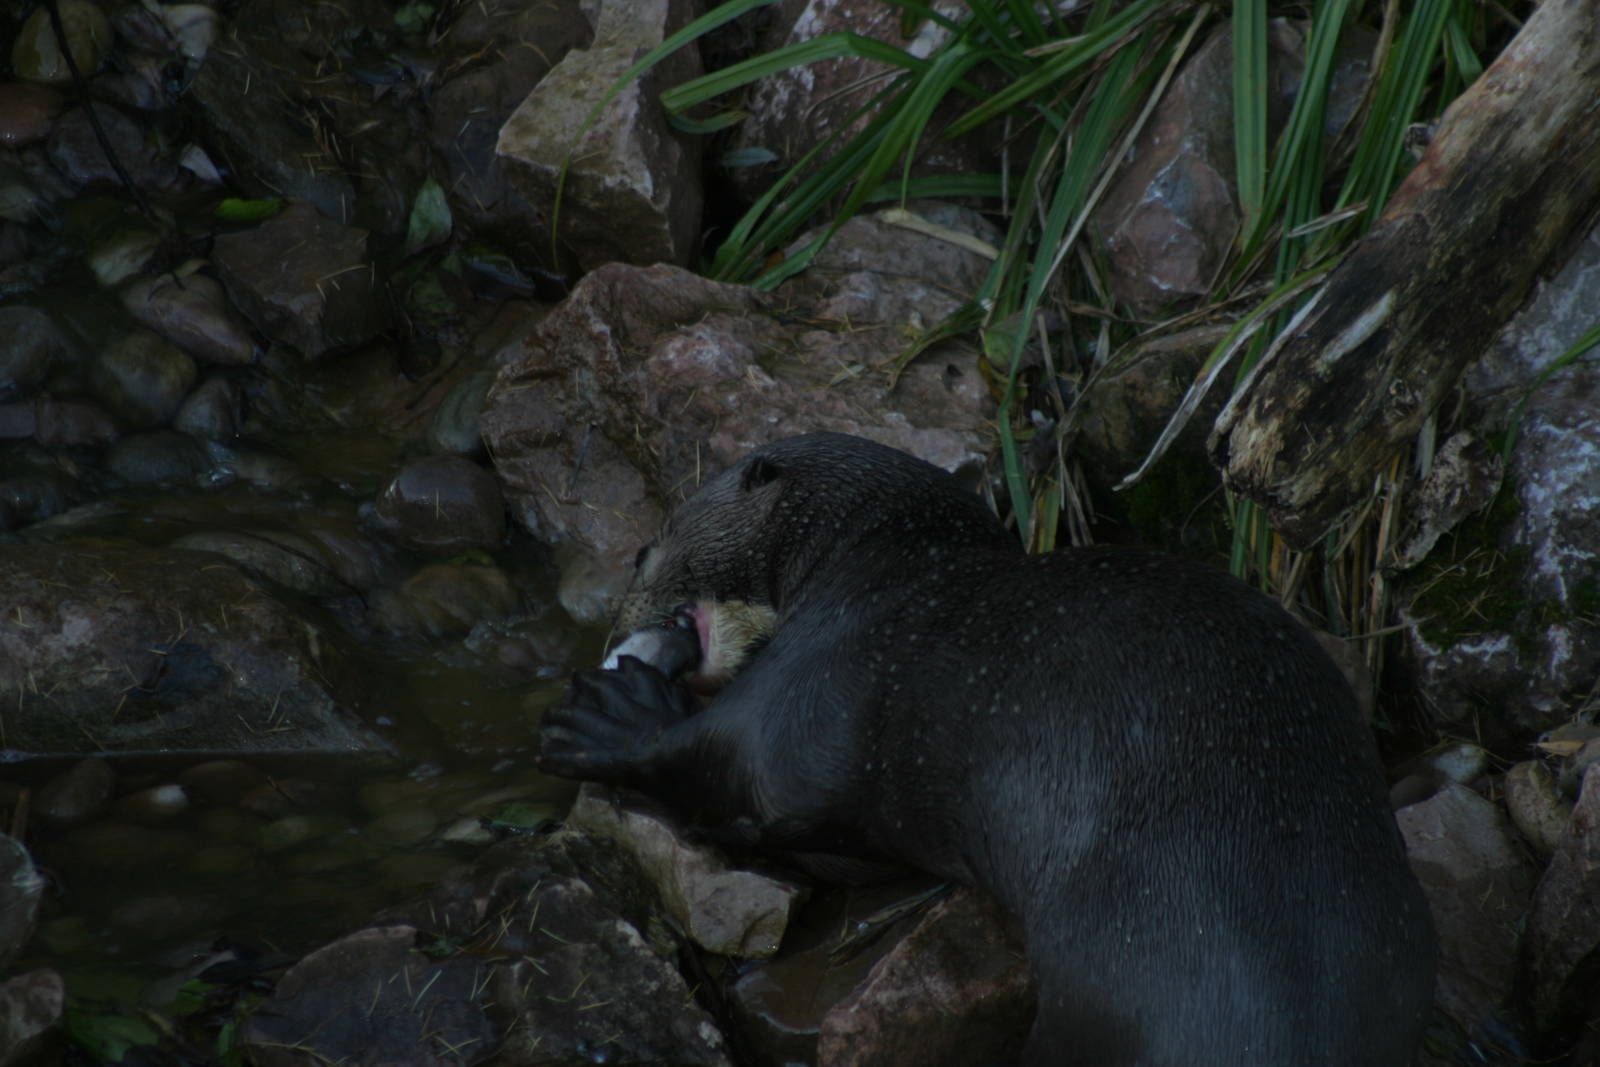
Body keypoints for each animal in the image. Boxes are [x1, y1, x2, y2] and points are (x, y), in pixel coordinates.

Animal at [538, 433, 1435, 1067]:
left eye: (648, 547)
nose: (621, 617)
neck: (879, 560)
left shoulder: (815, 681)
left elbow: (725, 765)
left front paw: (601, 715)